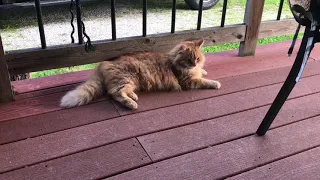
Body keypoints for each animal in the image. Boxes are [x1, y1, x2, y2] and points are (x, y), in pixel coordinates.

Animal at [60, 39, 220, 109]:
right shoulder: (187, 81)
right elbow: (204, 81)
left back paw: (134, 96)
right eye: (188, 60)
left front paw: (203, 70)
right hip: (127, 79)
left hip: (131, 82)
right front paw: (215, 83)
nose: (194, 64)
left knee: (119, 92)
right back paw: (132, 104)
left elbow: (201, 73)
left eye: (197, 59)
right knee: (116, 94)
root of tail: (104, 65)